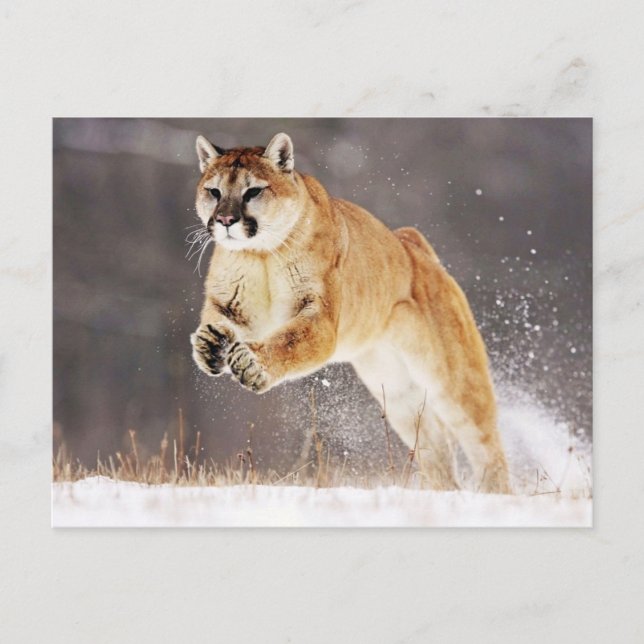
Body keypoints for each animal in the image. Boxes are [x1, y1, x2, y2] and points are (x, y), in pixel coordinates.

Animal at [190, 132, 511, 494]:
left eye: (253, 191)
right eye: (214, 191)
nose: (225, 221)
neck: (260, 255)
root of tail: (413, 243)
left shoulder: (319, 318)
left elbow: (289, 341)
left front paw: (251, 364)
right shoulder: (231, 306)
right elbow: (217, 321)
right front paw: (209, 345)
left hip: (452, 378)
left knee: (484, 441)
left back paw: (497, 495)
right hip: (395, 390)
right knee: (434, 444)